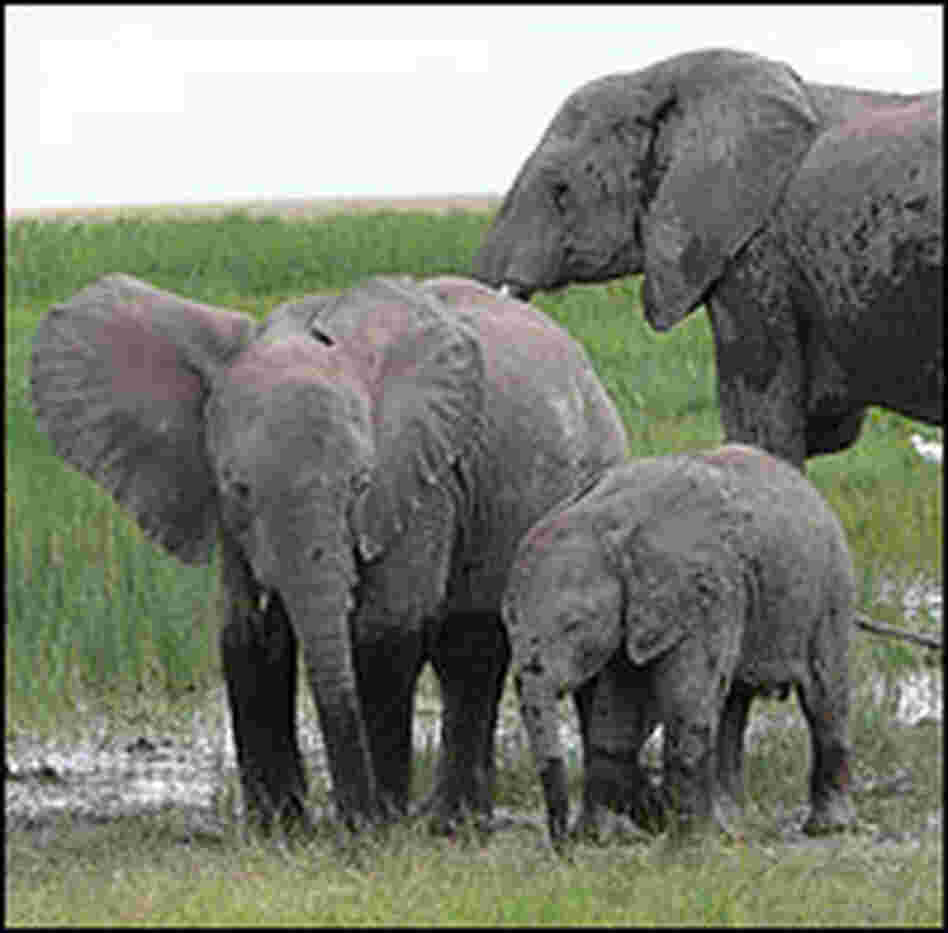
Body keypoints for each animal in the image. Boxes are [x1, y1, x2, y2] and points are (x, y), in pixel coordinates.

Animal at [31, 273, 628, 832]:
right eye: (237, 488)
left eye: (360, 483)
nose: (351, 819)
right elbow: (247, 636)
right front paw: (278, 829)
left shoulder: (423, 481)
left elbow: (385, 632)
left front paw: (377, 823)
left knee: (469, 645)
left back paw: (449, 822)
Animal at [502, 443, 855, 847]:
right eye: (507, 624)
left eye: (573, 625)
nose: (562, 846)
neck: (610, 521)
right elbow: (616, 707)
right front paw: (599, 837)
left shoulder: (706, 590)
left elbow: (685, 697)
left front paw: (690, 840)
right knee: (733, 703)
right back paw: (729, 826)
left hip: (831, 589)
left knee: (823, 698)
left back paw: (828, 827)